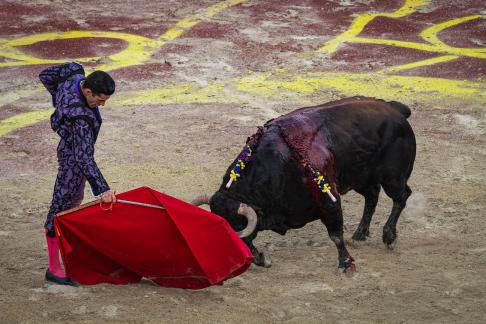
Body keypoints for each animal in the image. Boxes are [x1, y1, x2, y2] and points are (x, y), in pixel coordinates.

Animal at [192, 97, 416, 274]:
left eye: (235, 226)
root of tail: (395, 109)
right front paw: (262, 259)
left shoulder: (329, 200)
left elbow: (336, 235)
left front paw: (346, 264)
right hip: (360, 177)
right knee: (372, 196)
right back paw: (360, 234)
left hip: (393, 178)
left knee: (401, 197)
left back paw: (389, 237)